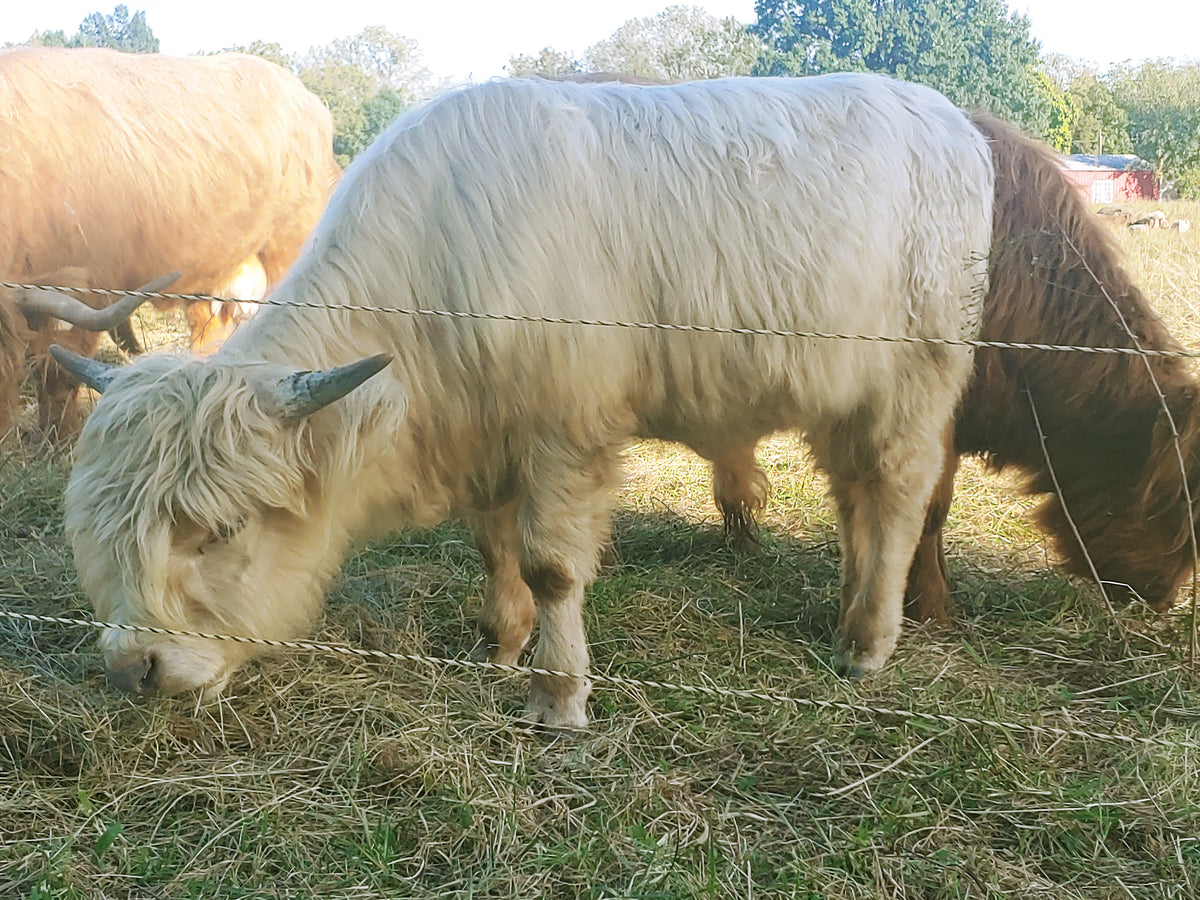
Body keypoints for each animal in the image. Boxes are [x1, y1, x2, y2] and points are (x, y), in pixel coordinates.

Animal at [0, 46, 340, 436]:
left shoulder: (88, 290)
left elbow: (59, 371)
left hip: (287, 253)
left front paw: (62, 435)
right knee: (209, 328)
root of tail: (307, 98)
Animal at [53, 74, 993, 728]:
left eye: (220, 531)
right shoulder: (488, 431)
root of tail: (953, 124)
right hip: (846, 398)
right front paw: (502, 645)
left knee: (900, 496)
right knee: (855, 497)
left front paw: (557, 694)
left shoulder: (565, 434)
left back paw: (870, 643)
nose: (134, 669)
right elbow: (492, 543)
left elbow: (550, 565)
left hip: (916, 383)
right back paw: (848, 611)